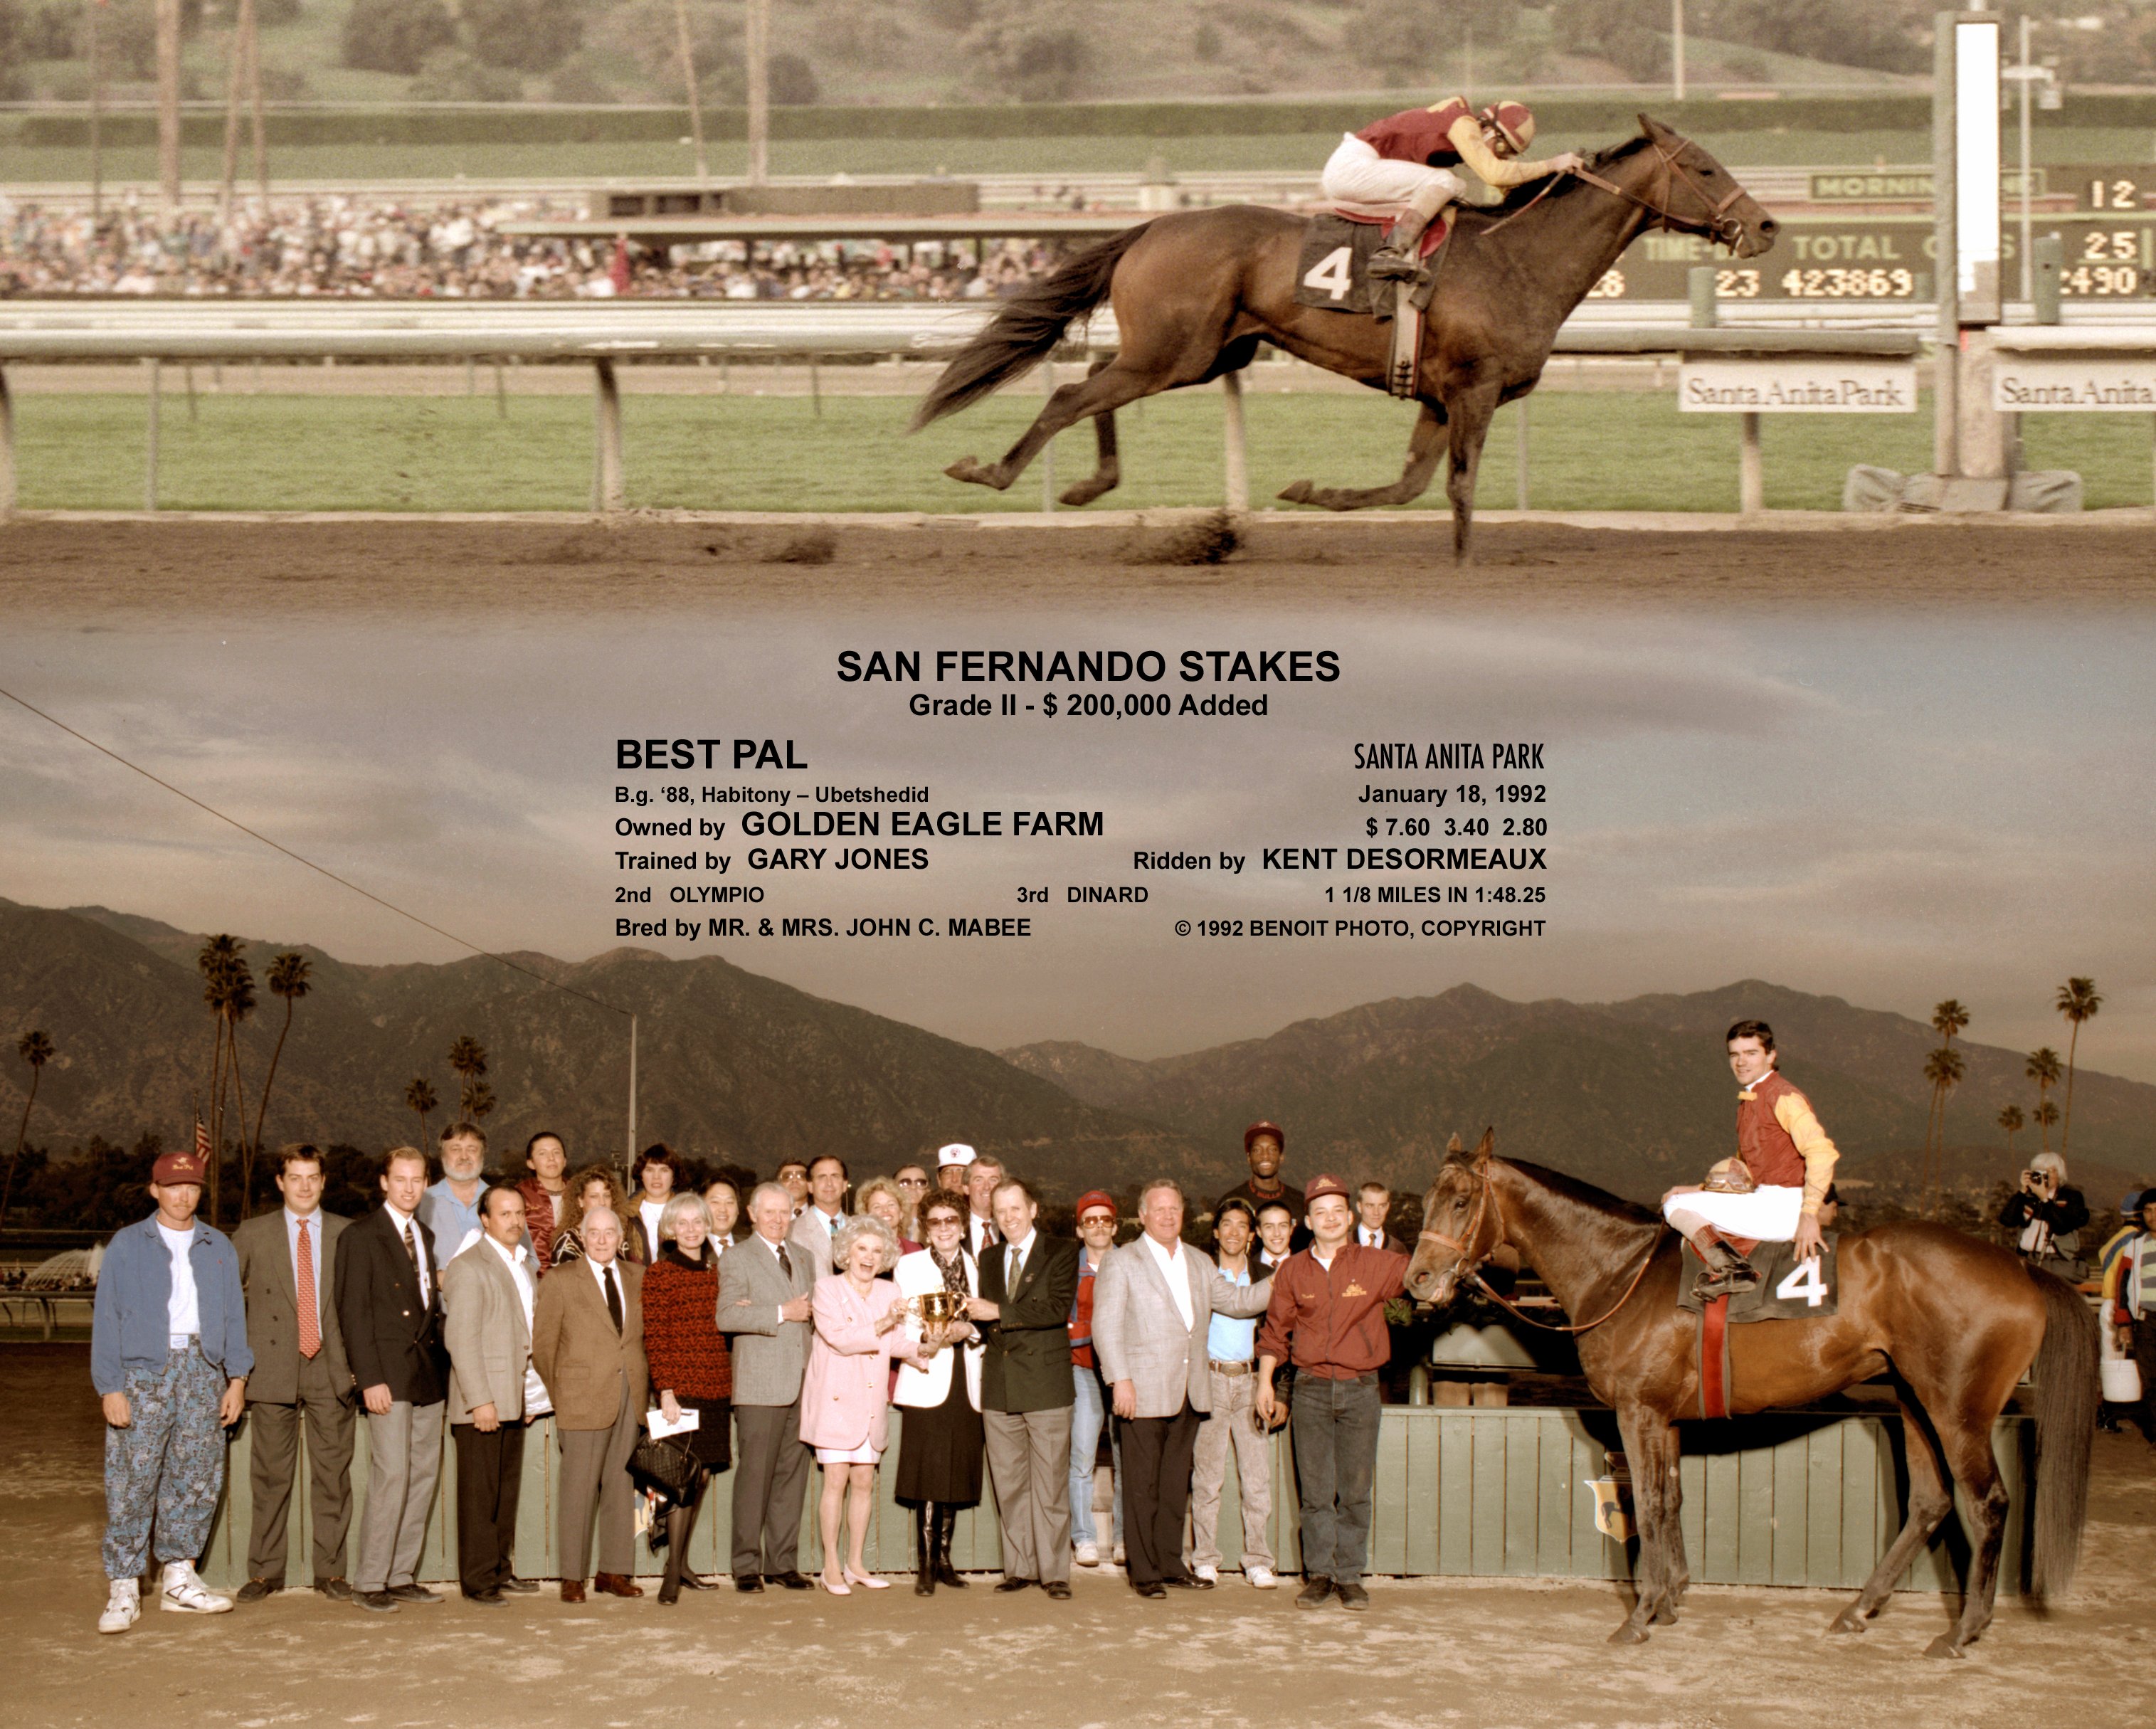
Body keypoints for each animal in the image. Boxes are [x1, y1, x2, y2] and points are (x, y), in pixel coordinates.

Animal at [905, 114, 1767, 560]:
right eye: (1705, 167)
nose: (1764, 225)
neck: (1519, 257)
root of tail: (1154, 224)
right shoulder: (1477, 388)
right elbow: (1458, 488)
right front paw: (1465, 565)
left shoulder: (1441, 394)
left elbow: (1411, 485)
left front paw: (1312, 492)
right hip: (1177, 350)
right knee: (1071, 395)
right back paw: (994, 472)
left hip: (1195, 353)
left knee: (1093, 388)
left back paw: (1092, 485)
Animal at [1405, 1121, 2096, 1646]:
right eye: (1429, 1198)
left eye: (1461, 1201)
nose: (1417, 1281)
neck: (1622, 1270)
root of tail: (2020, 1270)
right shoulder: (1666, 1418)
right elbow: (1673, 1500)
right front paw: (1672, 1599)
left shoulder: (1639, 1412)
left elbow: (1647, 1505)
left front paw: (1640, 1613)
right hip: (1912, 1400)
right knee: (1929, 1502)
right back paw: (1859, 1610)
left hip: (1958, 1409)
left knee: (1989, 1501)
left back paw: (1964, 1630)